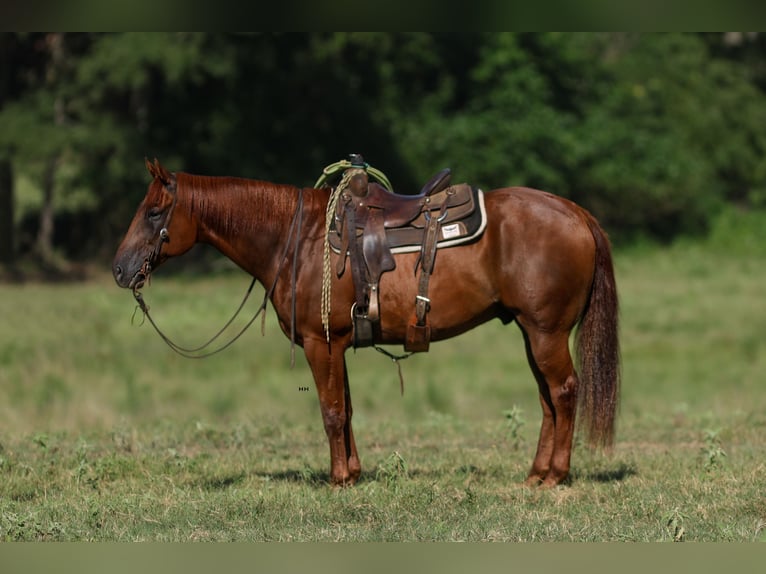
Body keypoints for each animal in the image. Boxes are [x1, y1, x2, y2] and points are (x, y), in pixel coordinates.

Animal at [114, 159, 620, 490]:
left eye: (154, 212)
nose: (120, 269)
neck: (297, 239)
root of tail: (576, 213)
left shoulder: (319, 343)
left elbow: (331, 412)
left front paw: (338, 479)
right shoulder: (336, 344)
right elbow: (347, 409)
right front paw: (353, 474)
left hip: (545, 333)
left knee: (564, 392)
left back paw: (556, 475)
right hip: (532, 333)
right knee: (548, 399)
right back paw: (536, 473)